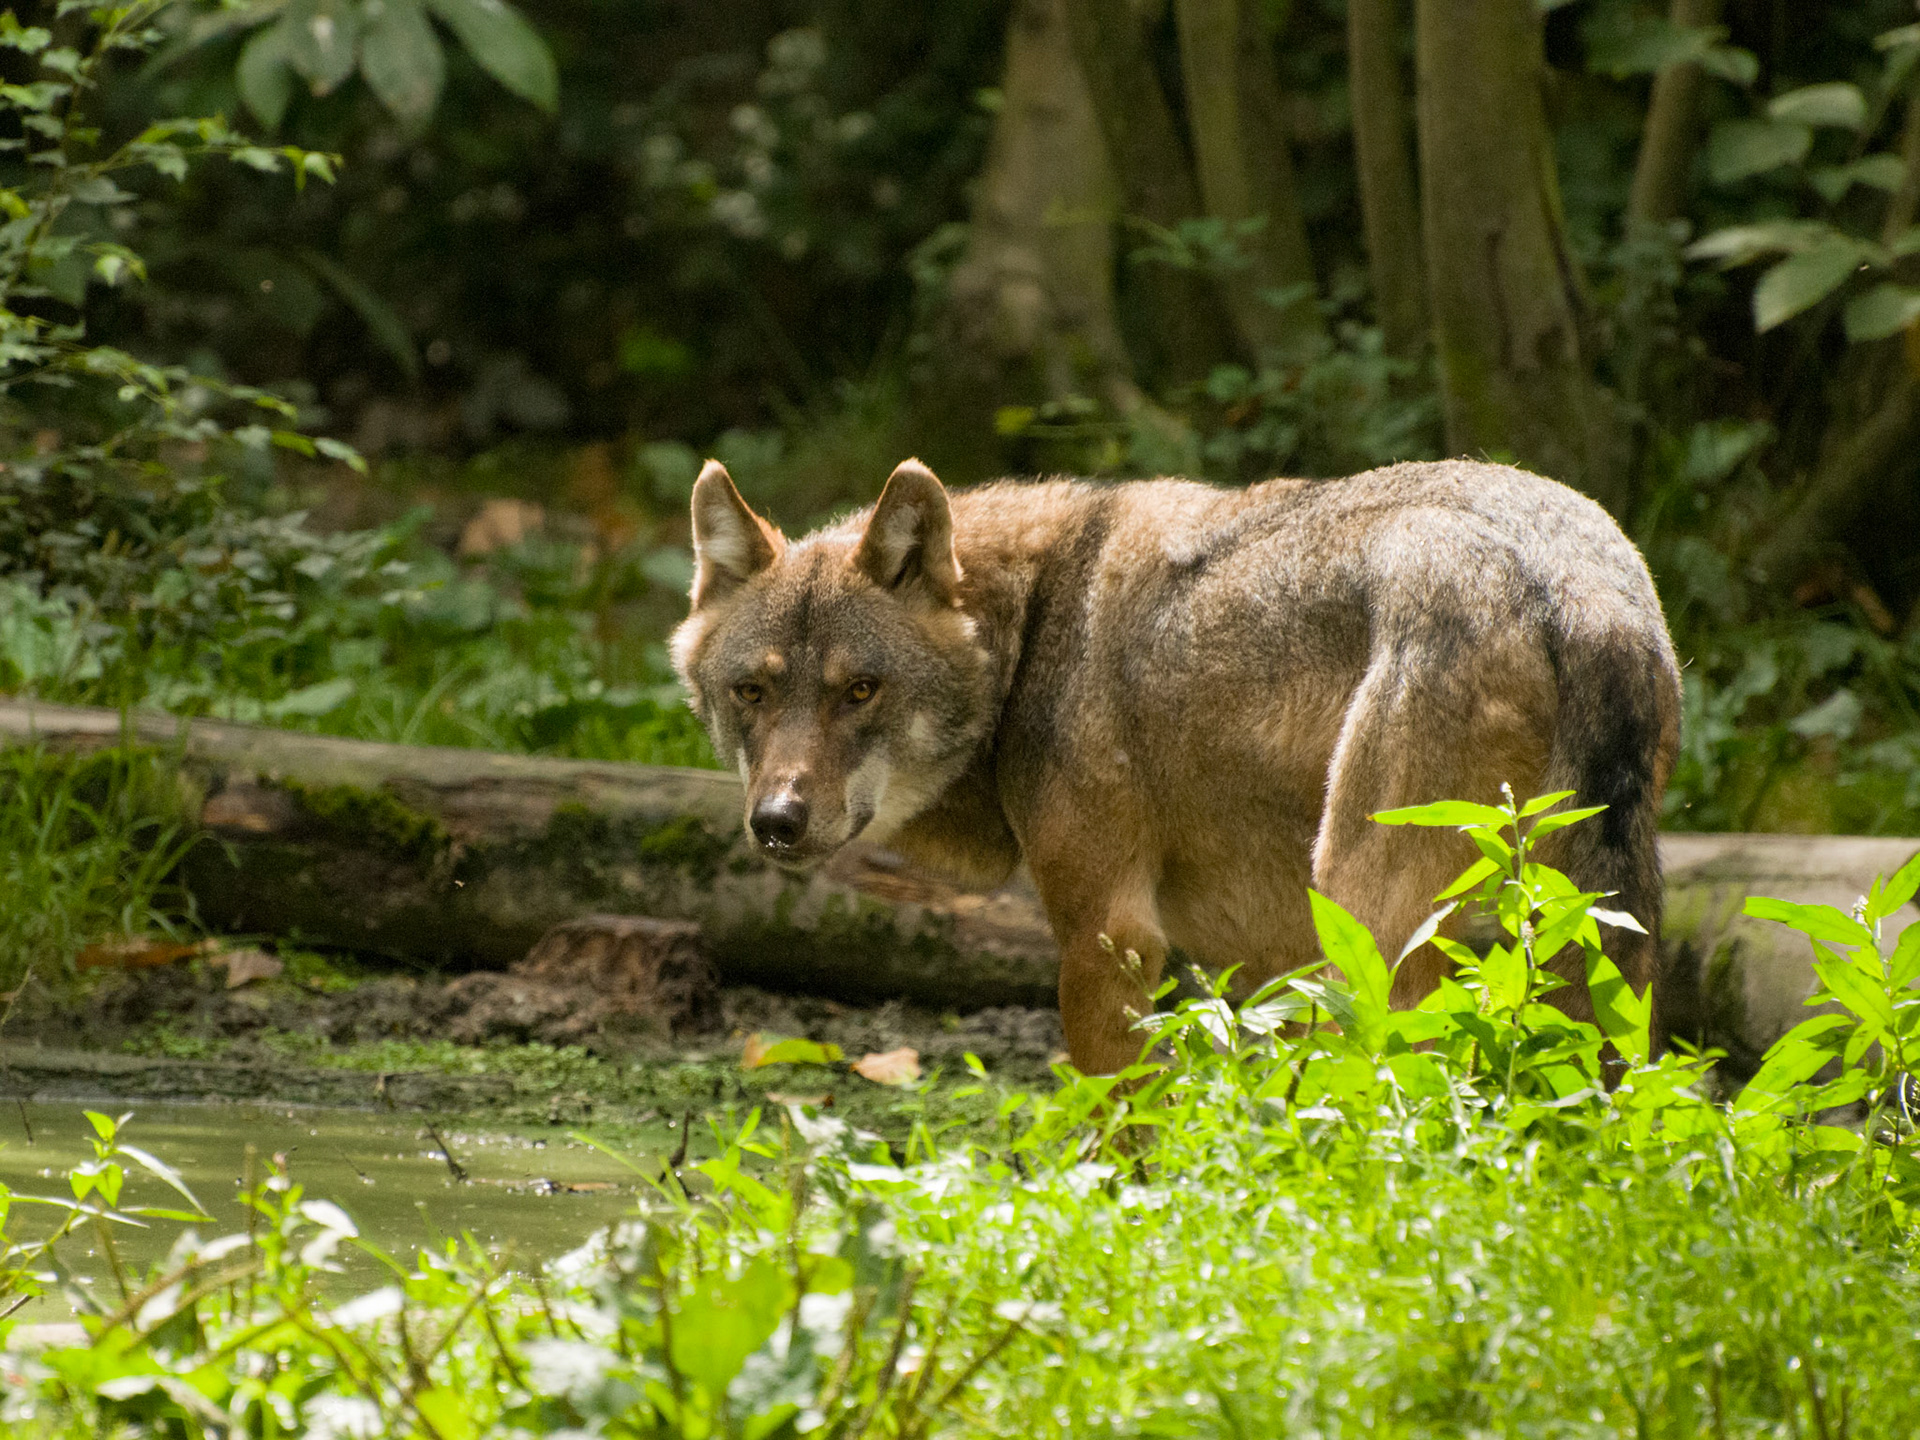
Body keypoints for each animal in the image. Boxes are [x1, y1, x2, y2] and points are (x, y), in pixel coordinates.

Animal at [671, 457, 1681, 1074]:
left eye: (860, 690)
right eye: (752, 692)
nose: (777, 821)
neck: (1032, 634)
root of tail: (1576, 584)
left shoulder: (1108, 936)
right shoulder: (1259, 956)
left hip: (1367, 917)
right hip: (1588, 936)